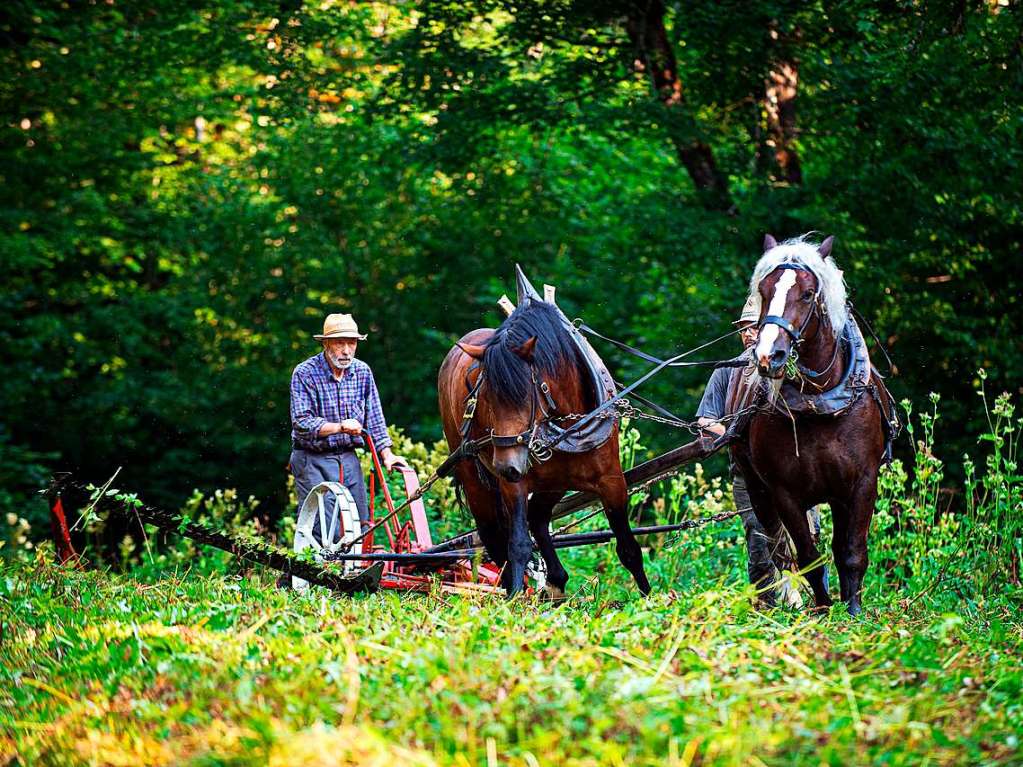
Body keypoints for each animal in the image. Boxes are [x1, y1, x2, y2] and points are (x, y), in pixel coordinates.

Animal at [437, 269, 646, 601]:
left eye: (525, 394)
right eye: (480, 395)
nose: (507, 466)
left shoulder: (611, 480)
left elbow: (628, 549)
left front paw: (649, 597)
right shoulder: (514, 481)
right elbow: (518, 545)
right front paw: (513, 599)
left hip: (555, 482)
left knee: (537, 517)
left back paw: (556, 581)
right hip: (475, 475)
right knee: (494, 535)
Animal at [728, 234, 896, 617]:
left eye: (807, 294)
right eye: (764, 289)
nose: (768, 355)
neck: (819, 405)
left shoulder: (862, 483)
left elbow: (851, 552)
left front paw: (853, 612)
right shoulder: (784, 492)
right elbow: (807, 557)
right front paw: (821, 611)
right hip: (756, 488)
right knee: (774, 546)